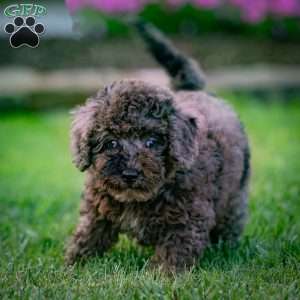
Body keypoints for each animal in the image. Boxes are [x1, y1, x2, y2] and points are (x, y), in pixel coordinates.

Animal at [65, 20, 251, 272]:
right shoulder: (98, 209)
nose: (130, 174)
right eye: (111, 143)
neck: (140, 197)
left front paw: (162, 275)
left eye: (152, 142)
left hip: (235, 194)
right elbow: (88, 235)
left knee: (230, 219)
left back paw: (227, 247)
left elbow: (175, 250)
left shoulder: (186, 218)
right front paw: (72, 265)